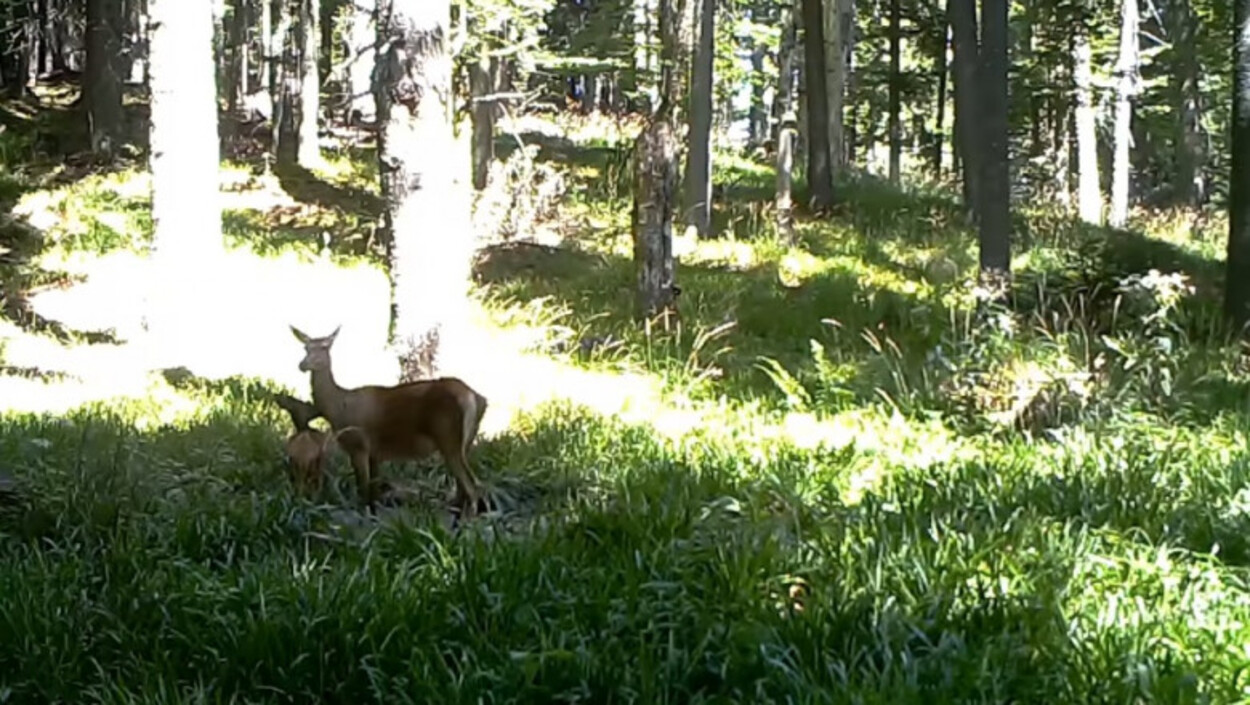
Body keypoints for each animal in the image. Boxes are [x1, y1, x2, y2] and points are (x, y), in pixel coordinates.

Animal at [290, 325, 490, 517]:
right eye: (306, 347)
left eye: (325, 347)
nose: (302, 364)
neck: (339, 407)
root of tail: (474, 397)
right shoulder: (374, 452)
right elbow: (374, 493)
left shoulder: (358, 445)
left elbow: (364, 491)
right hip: (466, 442)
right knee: (464, 491)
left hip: (448, 438)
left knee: (473, 487)